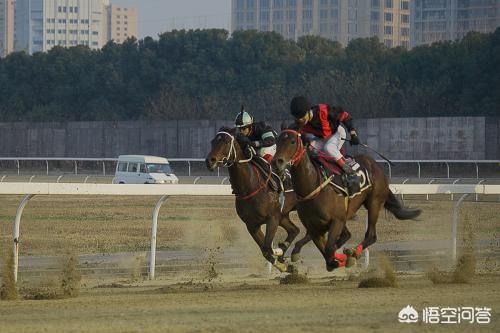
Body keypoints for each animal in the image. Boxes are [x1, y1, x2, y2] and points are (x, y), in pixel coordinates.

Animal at [206, 126, 302, 270]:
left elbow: (267, 247)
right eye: (212, 142)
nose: (209, 161)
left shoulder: (272, 218)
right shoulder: (252, 224)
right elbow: (265, 250)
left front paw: (280, 256)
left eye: (227, 142)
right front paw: (284, 264)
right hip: (284, 215)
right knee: (294, 230)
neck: (249, 186)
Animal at [272, 128, 420, 272]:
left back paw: (354, 252)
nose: (277, 162)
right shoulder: (315, 228)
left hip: (374, 202)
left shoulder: (336, 221)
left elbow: (329, 250)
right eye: (277, 141)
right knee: (346, 235)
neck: (312, 185)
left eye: (292, 141)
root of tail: (375, 165)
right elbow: (328, 254)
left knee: (370, 235)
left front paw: (347, 258)